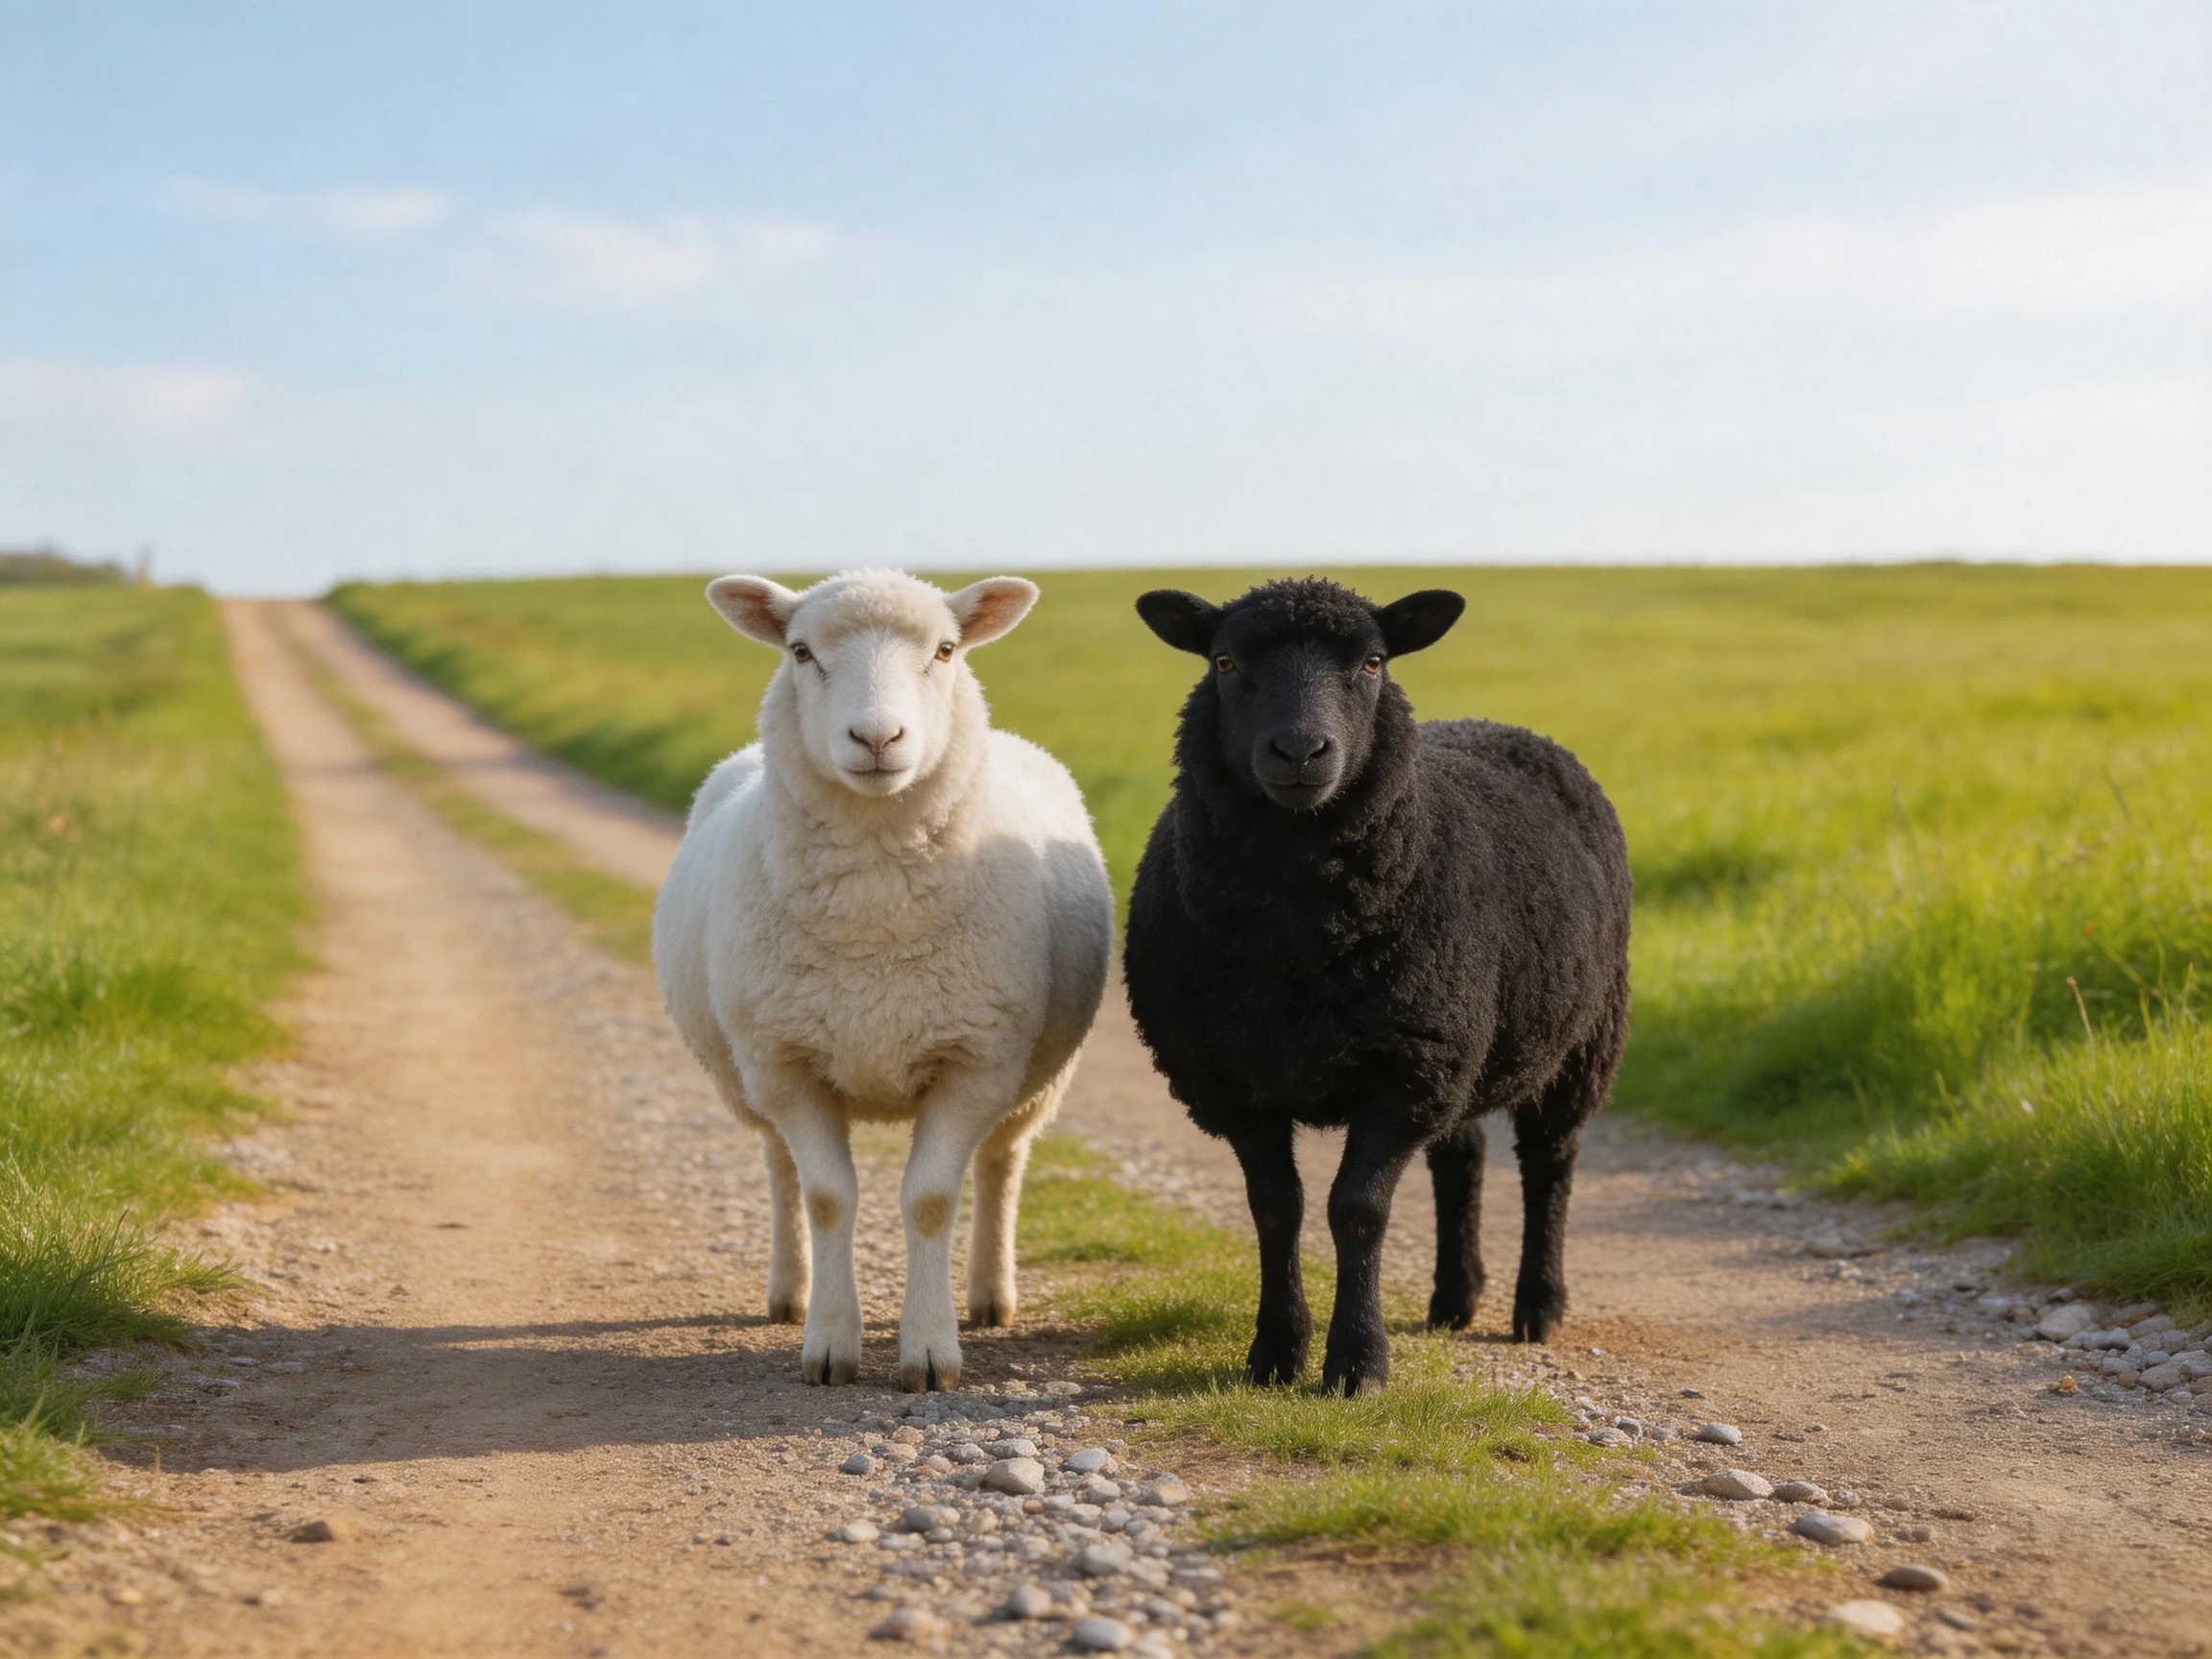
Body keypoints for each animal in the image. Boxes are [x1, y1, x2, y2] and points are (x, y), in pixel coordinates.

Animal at [653, 569, 1113, 1391]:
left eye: (946, 649)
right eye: (800, 651)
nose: (875, 739)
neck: (874, 912)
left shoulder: (973, 1063)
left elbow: (930, 1201)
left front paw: (930, 1349)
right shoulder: (788, 1065)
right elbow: (828, 1199)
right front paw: (831, 1342)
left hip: (1034, 1079)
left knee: (1002, 1163)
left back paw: (990, 1295)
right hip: (749, 1072)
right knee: (780, 1168)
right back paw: (790, 1292)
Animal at [1122, 577, 1631, 1395]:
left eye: (1372, 662)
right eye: (1225, 662)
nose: (1300, 750)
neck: (1295, 940)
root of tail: (1502, 725)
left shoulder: (1402, 1073)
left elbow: (1357, 1210)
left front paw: (1357, 1363)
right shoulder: (1234, 1079)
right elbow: (1276, 1207)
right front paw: (1276, 1351)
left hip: (1578, 1039)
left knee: (1549, 1163)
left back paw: (1538, 1305)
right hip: (1460, 1043)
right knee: (1461, 1158)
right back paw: (1455, 1297)